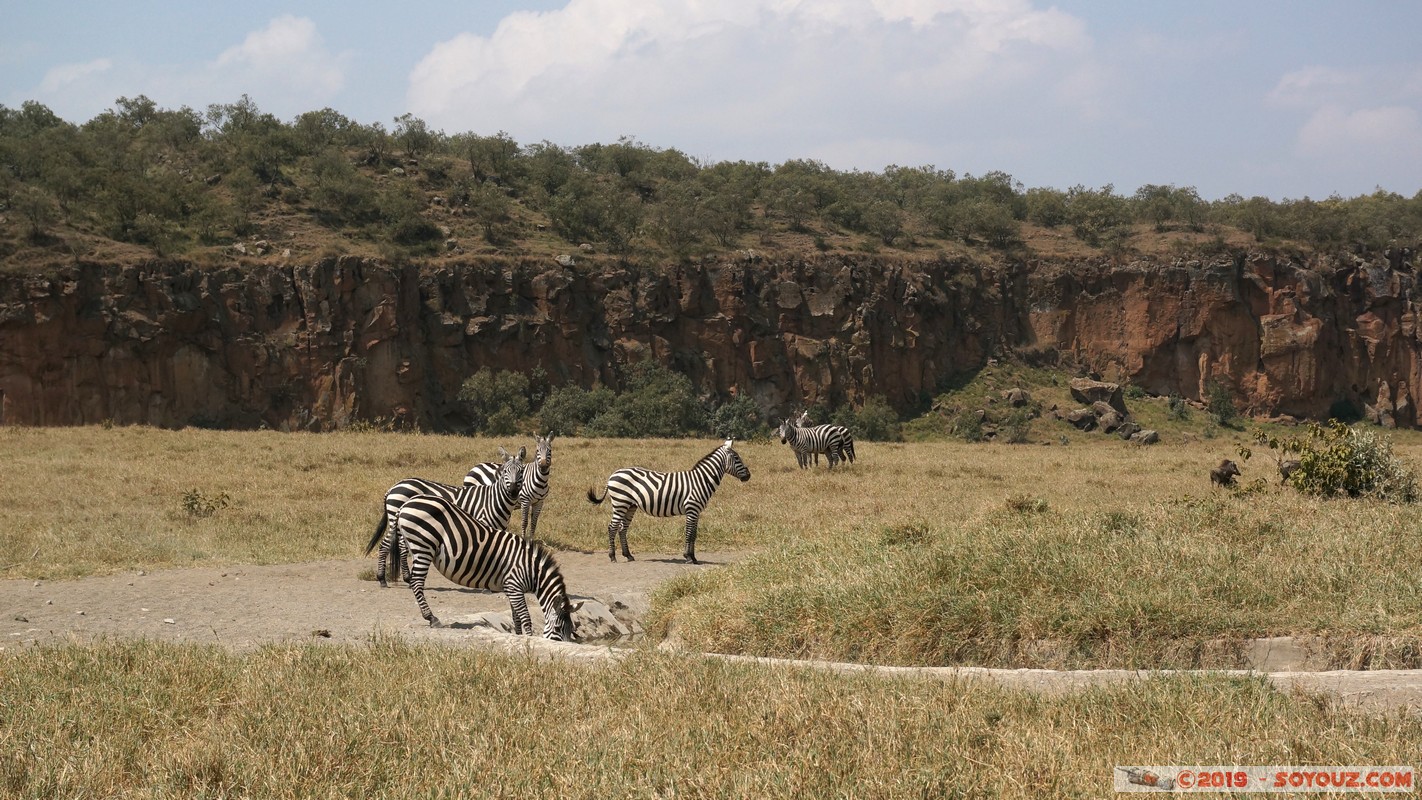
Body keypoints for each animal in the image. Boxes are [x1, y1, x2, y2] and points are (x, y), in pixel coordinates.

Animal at [364, 451, 526, 588]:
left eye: (522, 471)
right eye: (505, 472)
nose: (513, 492)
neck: (493, 499)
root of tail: (392, 488)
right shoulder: (483, 524)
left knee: (389, 545)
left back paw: (390, 578)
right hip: (398, 520)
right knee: (391, 546)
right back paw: (389, 579)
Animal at [395, 491, 577, 642]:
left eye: (572, 630)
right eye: (558, 628)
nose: (566, 644)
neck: (531, 569)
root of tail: (406, 504)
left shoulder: (512, 589)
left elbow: (516, 617)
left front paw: (518, 635)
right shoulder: (514, 585)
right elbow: (525, 617)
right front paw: (529, 638)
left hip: (414, 545)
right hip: (423, 546)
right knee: (417, 583)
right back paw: (432, 618)